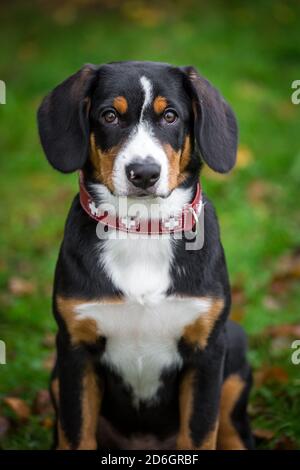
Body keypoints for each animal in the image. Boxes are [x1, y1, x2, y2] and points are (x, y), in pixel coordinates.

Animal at [37, 60, 253, 450]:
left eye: (170, 116)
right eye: (109, 115)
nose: (144, 173)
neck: (143, 229)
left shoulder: (206, 353)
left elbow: (200, 433)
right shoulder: (75, 351)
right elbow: (76, 434)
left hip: (234, 349)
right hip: (57, 377)